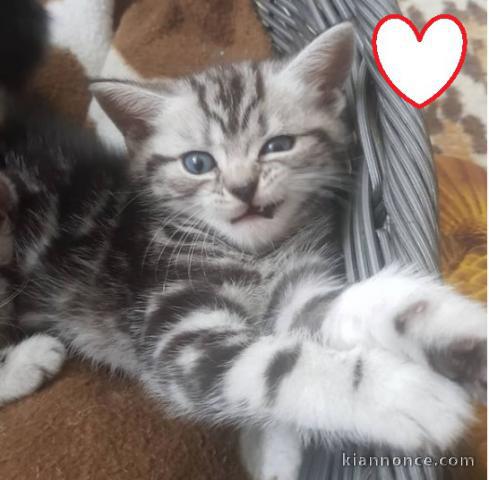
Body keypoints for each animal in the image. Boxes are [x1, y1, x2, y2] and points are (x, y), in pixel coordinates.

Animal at [1, 22, 486, 480]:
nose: (243, 188)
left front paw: (448, 325)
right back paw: (29, 360)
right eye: (198, 163)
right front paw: (401, 394)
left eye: (278, 145)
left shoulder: (293, 293)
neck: (256, 255)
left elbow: (345, 306)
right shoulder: (176, 332)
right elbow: (277, 366)